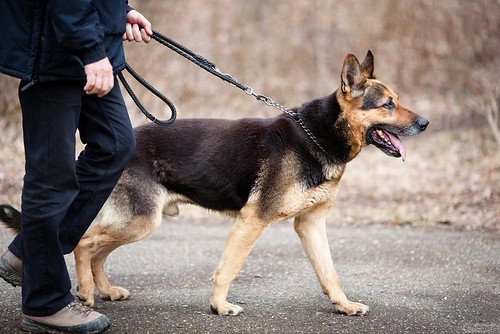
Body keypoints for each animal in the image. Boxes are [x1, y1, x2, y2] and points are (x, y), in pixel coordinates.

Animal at [0, 51, 428, 316]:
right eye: (387, 104)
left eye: (398, 100)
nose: (425, 123)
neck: (318, 135)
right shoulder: (253, 220)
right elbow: (229, 268)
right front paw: (220, 306)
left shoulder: (310, 224)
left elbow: (329, 272)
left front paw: (343, 305)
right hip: (142, 220)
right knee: (86, 242)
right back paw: (87, 293)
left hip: (138, 221)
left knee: (96, 249)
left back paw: (104, 289)